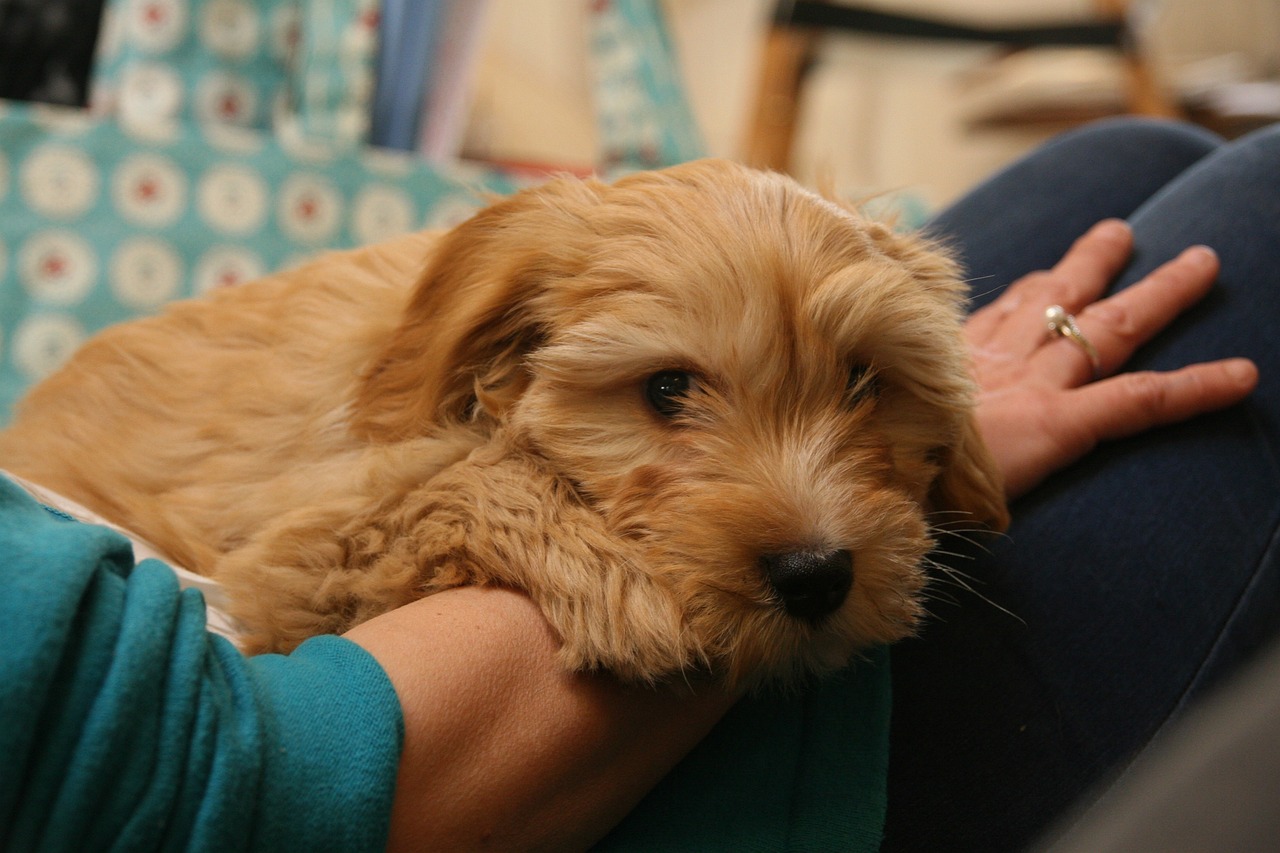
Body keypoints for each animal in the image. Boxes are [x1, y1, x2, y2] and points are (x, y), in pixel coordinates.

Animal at [0, 161, 998, 686]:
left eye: (865, 381)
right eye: (667, 389)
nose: (815, 573)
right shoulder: (293, 559)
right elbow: (465, 480)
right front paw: (615, 584)